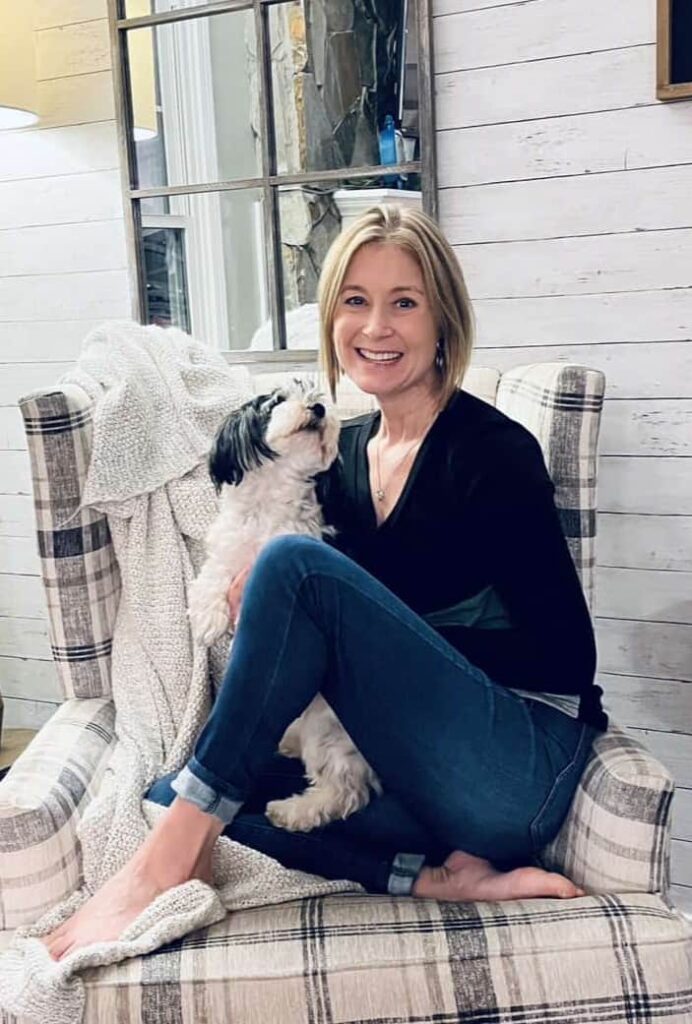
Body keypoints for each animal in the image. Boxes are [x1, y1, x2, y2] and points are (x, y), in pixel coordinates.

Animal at [189, 382, 380, 831]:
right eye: (275, 401)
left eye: (318, 396)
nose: (318, 407)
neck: (267, 510)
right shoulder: (227, 553)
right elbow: (212, 576)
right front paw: (207, 618)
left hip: (328, 734)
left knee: (346, 791)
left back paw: (292, 811)